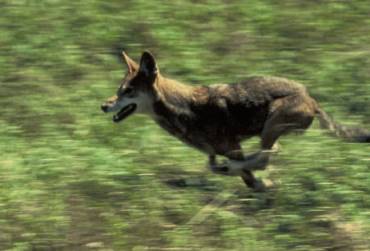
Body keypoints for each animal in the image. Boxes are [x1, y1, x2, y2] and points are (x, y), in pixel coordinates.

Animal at [101, 51, 370, 192]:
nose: (103, 105)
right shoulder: (216, 151)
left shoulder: (233, 148)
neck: (183, 108)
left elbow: (246, 172)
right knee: (269, 152)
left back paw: (239, 167)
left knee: (267, 154)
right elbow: (218, 167)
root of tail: (313, 99)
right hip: (269, 130)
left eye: (128, 92)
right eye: (119, 90)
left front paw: (258, 182)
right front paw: (259, 184)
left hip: (271, 123)